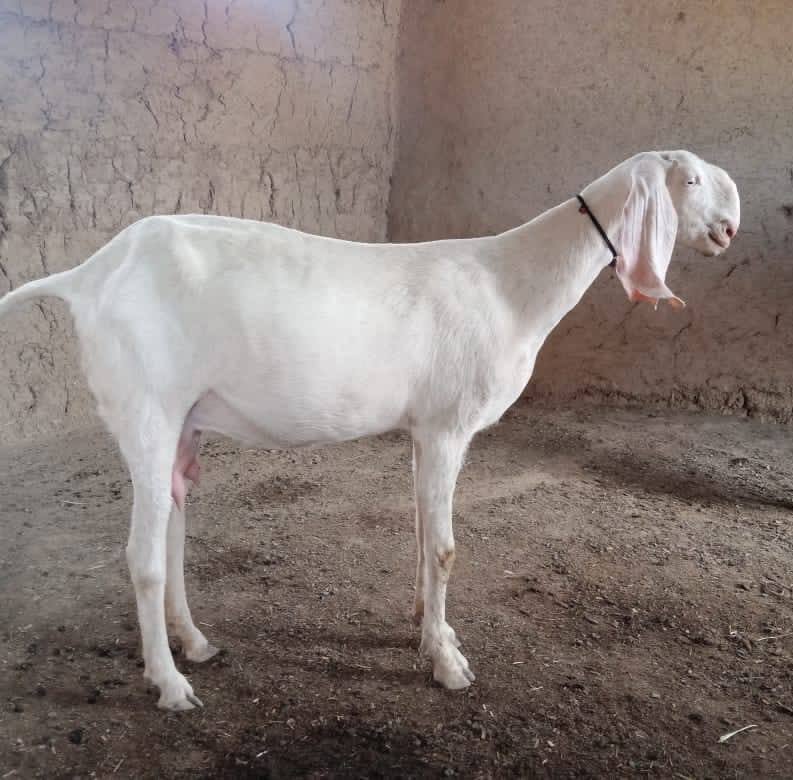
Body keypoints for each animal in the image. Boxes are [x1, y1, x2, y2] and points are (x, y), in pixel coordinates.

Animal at [0, 150, 739, 710]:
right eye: (691, 181)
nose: (729, 230)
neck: (511, 284)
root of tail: (87, 276)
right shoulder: (447, 425)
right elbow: (444, 547)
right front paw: (447, 663)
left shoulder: (422, 432)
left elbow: (419, 532)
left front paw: (427, 628)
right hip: (145, 408)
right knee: (143, 557)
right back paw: (170, 683)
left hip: (183, 421)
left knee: (173, 529)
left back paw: (197, 644)